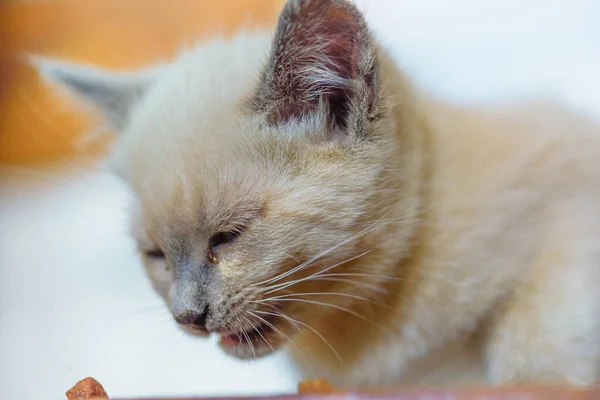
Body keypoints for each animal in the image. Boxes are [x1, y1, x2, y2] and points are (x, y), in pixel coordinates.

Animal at [38, 0, 600, 390]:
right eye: (154, 255)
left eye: (227, 237)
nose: (188, 316)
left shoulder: (570, 205)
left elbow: (534, 338)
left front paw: (533, 371)